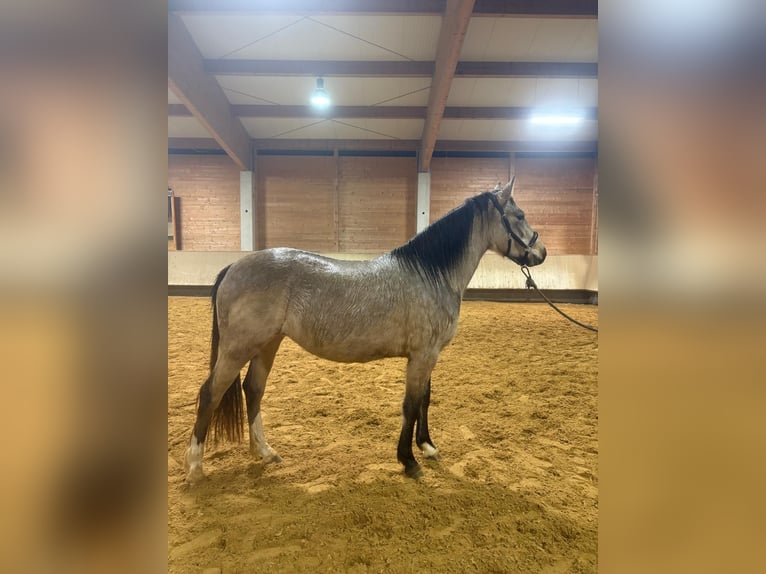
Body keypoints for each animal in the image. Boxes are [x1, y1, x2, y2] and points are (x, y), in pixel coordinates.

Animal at [184, 178, 546, 483]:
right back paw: (195, 469)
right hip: (238, 348)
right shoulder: (422, 356)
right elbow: (410, 404)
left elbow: (425, 399)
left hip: (268, 344)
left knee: (253, 389)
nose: (541, 253)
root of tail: (234, 266)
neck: (431, 274)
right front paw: (409, 461)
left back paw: (264, 451)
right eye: (520, 214)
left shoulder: (429, 355)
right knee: (211, 393)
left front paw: (427, 447)